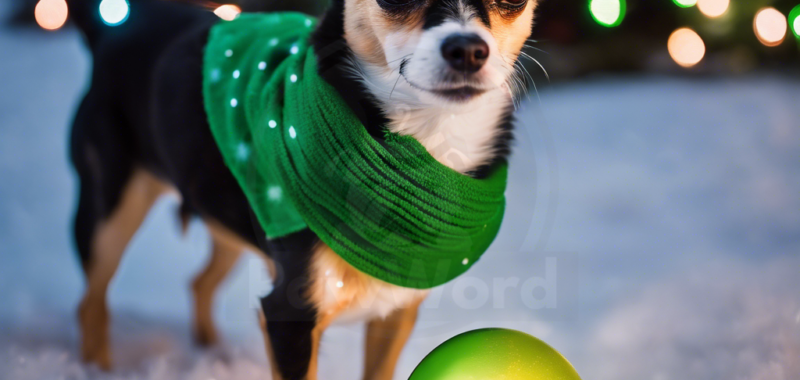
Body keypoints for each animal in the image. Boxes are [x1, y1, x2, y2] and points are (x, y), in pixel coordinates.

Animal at [67, 0, 536, 378]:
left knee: (198, 283)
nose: (467, 50)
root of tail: (115, 28)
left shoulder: (397, 309)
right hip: (109, 214)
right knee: (90, 304)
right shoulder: (289, 313)